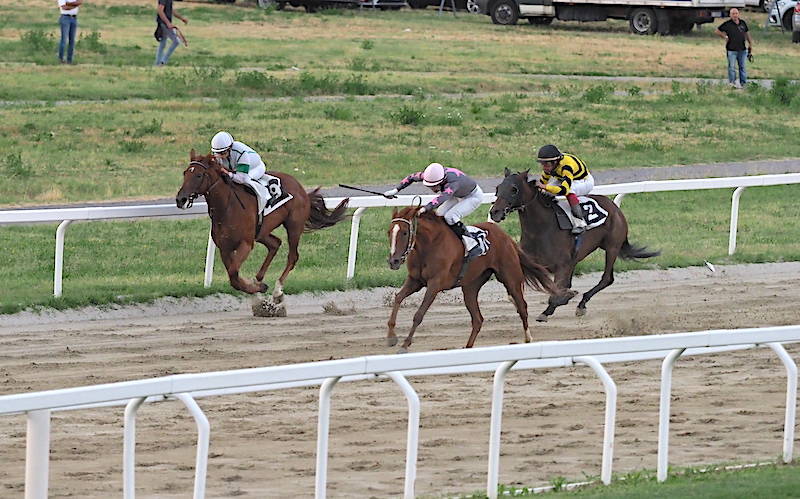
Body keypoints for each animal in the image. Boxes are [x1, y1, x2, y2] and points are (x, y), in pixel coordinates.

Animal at [177, 150, 348, 302]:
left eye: (198, 175)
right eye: (185, 173)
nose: (181, 200)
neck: (227, 207)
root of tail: (302, 189)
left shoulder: (246, 244)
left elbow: (233, 274)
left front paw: (257, 287)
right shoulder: (224, 248)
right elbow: (234, 276)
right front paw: (256, 287)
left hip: (293, 227)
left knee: (292, 257)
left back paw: (278, 289)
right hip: (261, 232)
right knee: (275, 244)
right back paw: (259, 278)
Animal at [386, 205, 564, 354]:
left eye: (404, 232)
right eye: (389, 232)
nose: (393, 261)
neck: (429, 245)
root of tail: (506, 236)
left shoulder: (435, 284)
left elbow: (419, 314)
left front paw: (405, 344)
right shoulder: (415, 280)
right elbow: (398, 298)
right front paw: (391, 337)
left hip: (510, 278)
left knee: (522, 307)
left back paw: (528, 338)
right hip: (470, 287)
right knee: (478, 319)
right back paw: (468, 347)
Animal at [494, 170, 656, 322]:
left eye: (514, 189)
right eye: (498, 188)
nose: (495, 212)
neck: (541, 229)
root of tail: (615, 207)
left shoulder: (562, 265)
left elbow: (557, 292)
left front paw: (554, 306)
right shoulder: (531, 263)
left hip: (612, 247)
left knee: (607, 278)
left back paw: (581, 304)